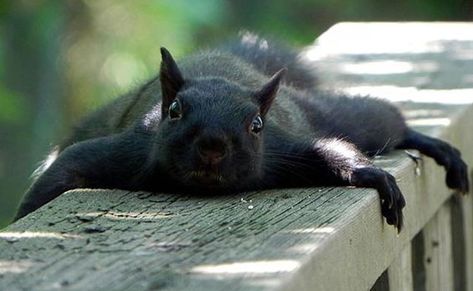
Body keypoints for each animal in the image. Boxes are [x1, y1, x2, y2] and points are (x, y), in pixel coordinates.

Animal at [15, 34, 468, 233]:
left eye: (256, 125)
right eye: (174, 111)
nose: (213, 146)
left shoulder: (283, 149)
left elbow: (331, 151)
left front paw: (373, 175)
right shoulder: (130, 148)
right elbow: (64, 169)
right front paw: (22, 218)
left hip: (326, 114)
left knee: (378, 121)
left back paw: (432, 145)